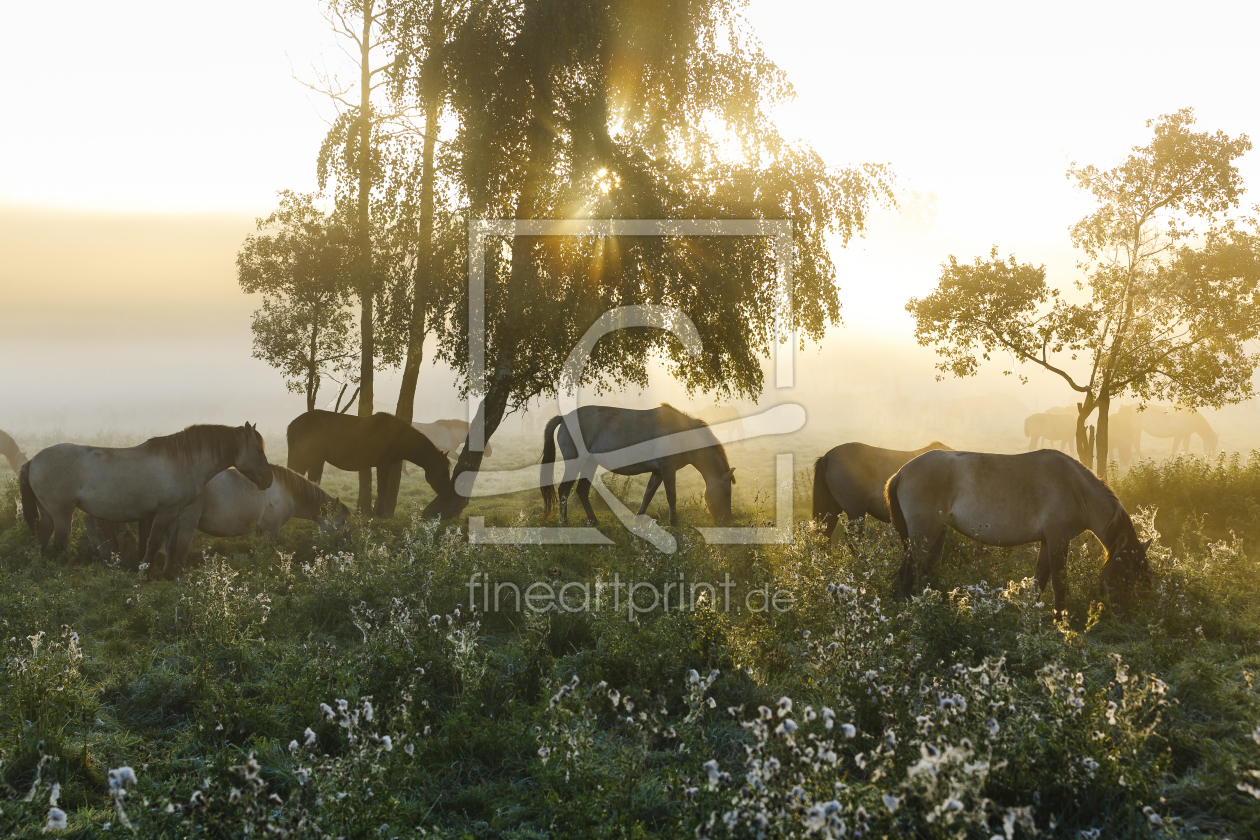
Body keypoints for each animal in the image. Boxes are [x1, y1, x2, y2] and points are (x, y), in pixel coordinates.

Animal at [20, 420, 270, 571]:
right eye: (259, 450)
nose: (268, 480)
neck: (183, 460)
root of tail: (33, 460)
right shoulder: (163, 513)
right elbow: (153, 543)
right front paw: (145, 572)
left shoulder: (175, 514)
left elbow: (170, 545)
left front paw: (169, 574)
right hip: (62, 513)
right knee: (60, 544)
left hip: (47, 513)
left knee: (42, 540)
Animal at [286, 408, 458, 518]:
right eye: (442, 472)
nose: (448, 495)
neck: (398, 436)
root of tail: (292, 424)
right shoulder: (383, 465)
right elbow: (382, 489)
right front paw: (380, 513)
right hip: (315, 459)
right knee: (312, 480)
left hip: (301, 458)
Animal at [536, 405, 735, 526]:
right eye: (726, 493)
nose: (726, 521)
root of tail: (564, 418)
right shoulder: (667, 470)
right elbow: (671, 496)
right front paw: (674, 523)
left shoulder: (658, 472)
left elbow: (647, 496)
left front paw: (637, 521)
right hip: (575, 463)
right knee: (564, 490)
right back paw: (564, 522)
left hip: (590, 464)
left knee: (582, 491)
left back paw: (594, 521)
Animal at [887, 445, 1154, 617]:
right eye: (1124, 573)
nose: (1122, 612)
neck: (1076, 488)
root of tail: (902, 471)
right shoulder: (1058, 539)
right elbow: (1059, 583)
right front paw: (1061, 621)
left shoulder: (1047, 541)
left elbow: (1040, 583)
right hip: (924, 534)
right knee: (907, 571)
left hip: (937, 533)